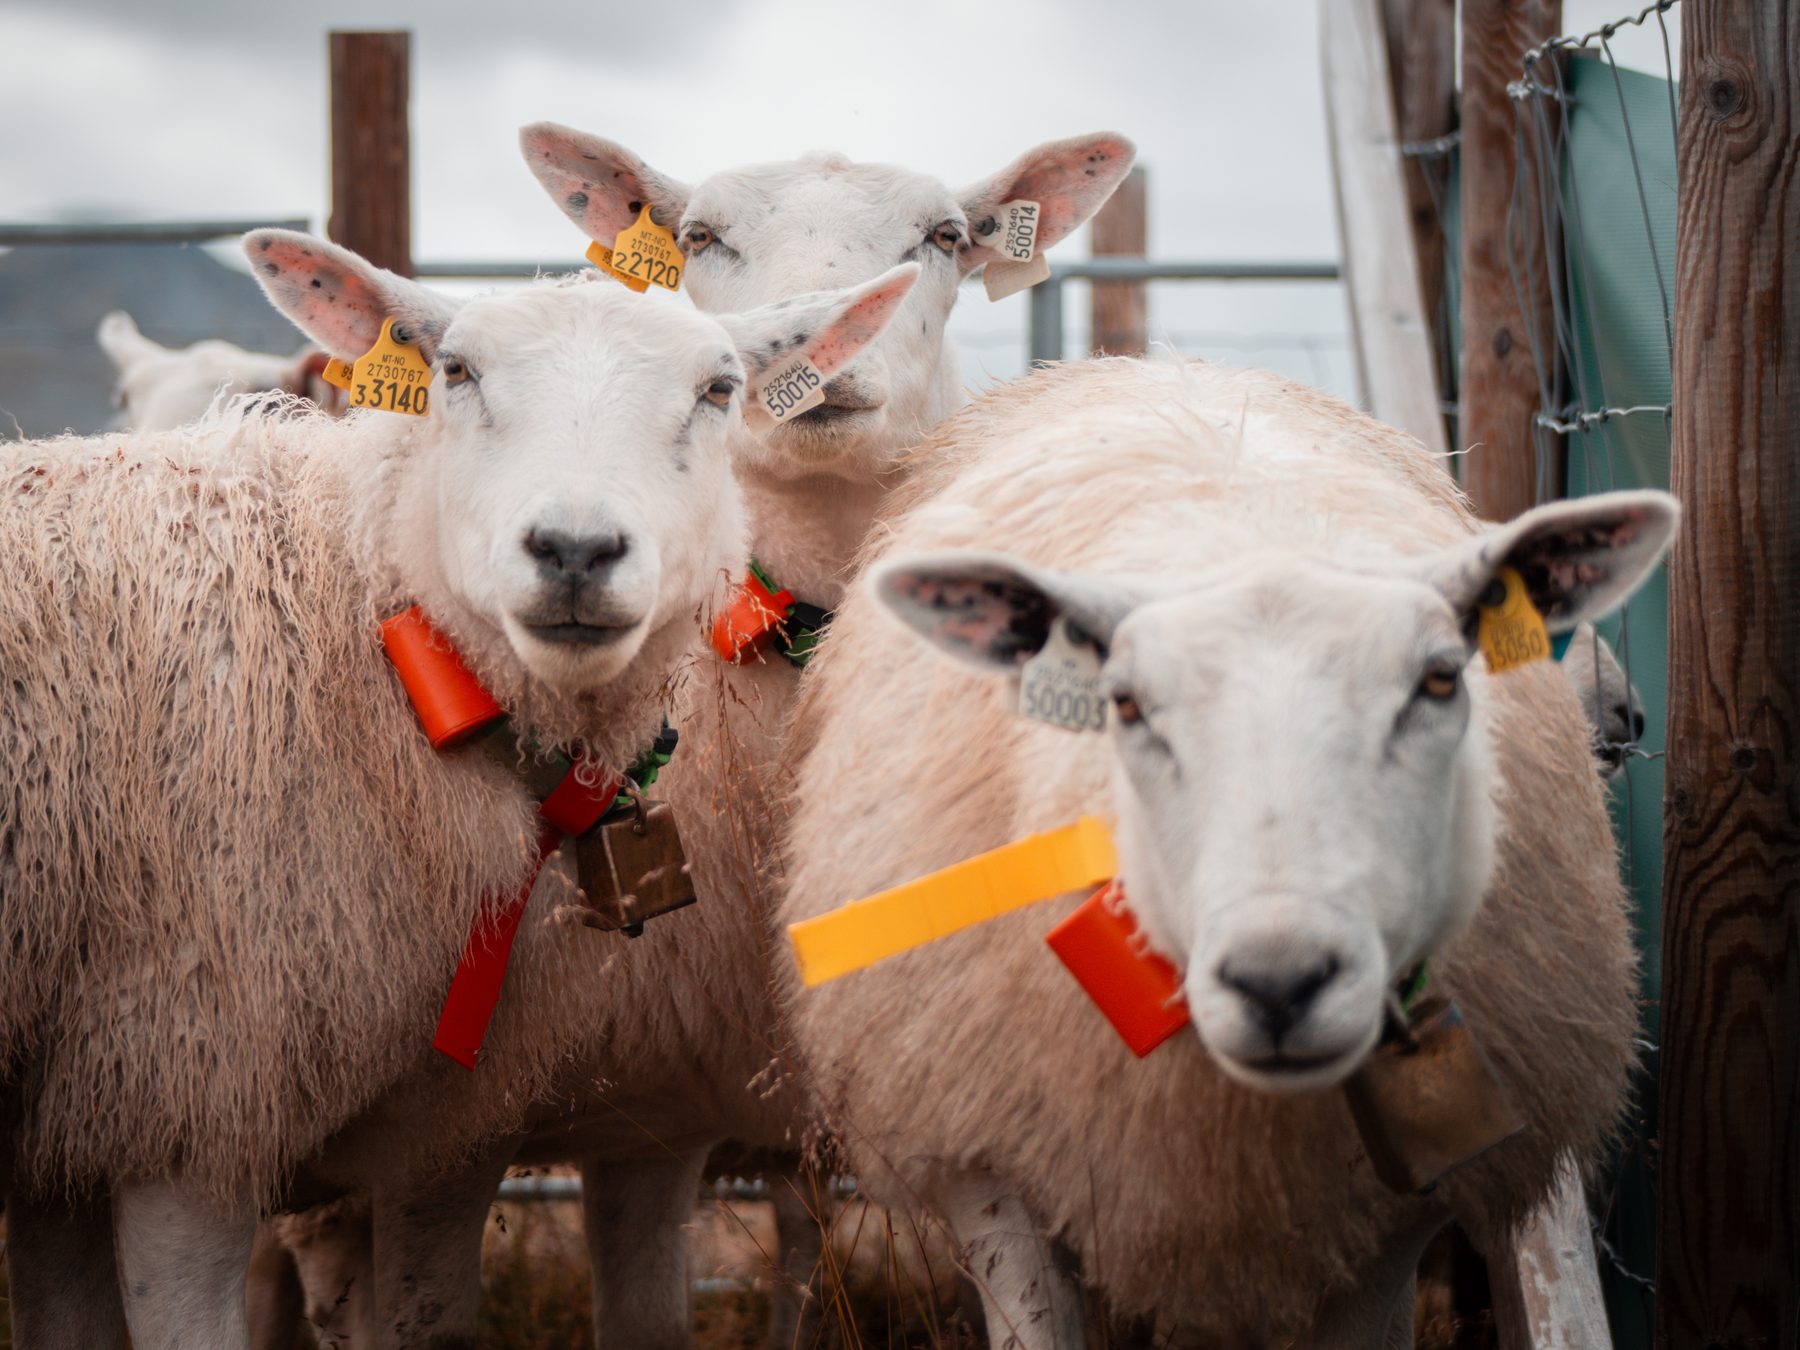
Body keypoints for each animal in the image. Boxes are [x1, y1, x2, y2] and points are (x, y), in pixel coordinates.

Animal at [774, 356, 1676, 1348]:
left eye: (1440, 680)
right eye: (1125, 701)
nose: (1280, 979)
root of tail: (1162, 359)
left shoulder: (1386, 1219)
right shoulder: (989, 1165)